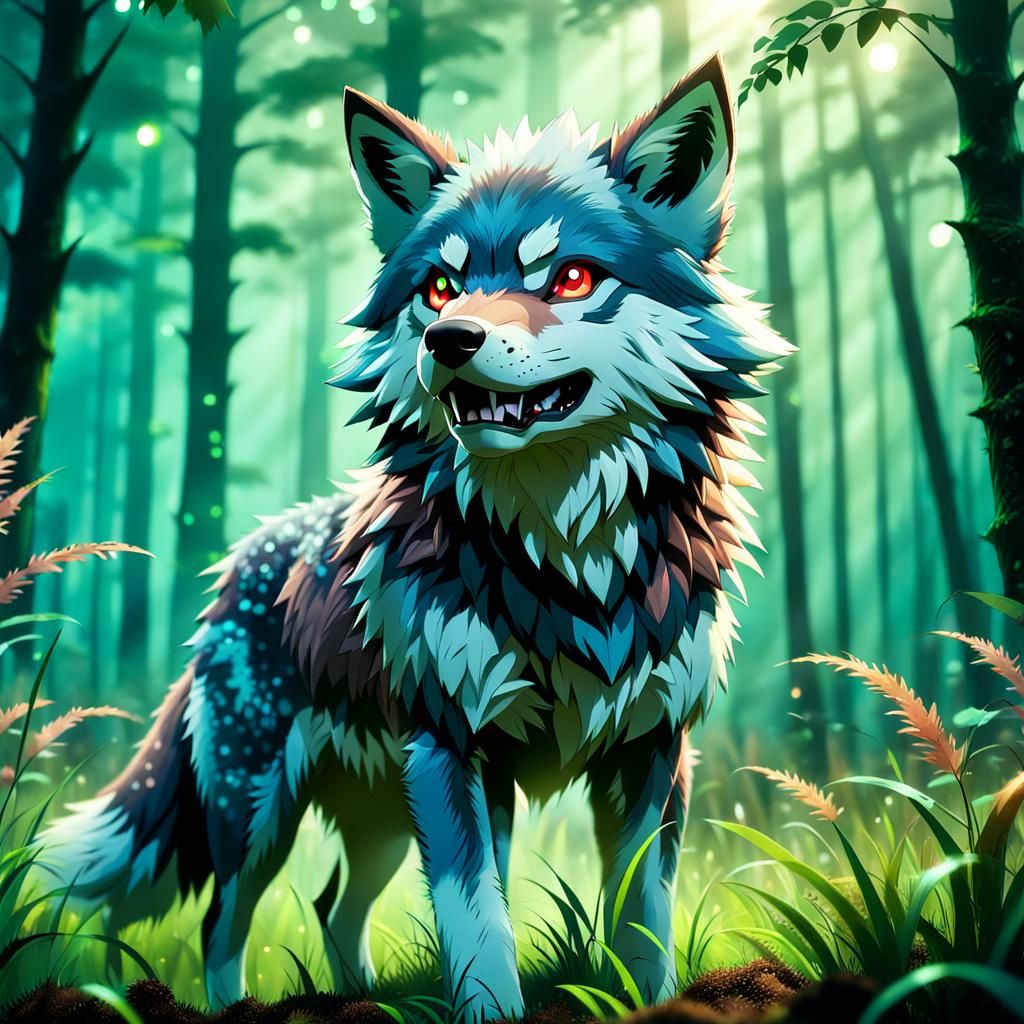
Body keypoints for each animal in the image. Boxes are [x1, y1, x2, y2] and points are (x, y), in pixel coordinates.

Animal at [42, 54, 789, 1022]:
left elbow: (642, 920)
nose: (448, 338)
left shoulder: (651, 751)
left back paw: (361, 1000)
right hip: (260, 814)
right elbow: (480, 925)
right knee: (221, 924)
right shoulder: (453, 750)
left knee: (331, 906)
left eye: (570, 278)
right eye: (440, 286)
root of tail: (237, 564)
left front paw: (645, 998)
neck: (565, 561)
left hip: (379, 820)